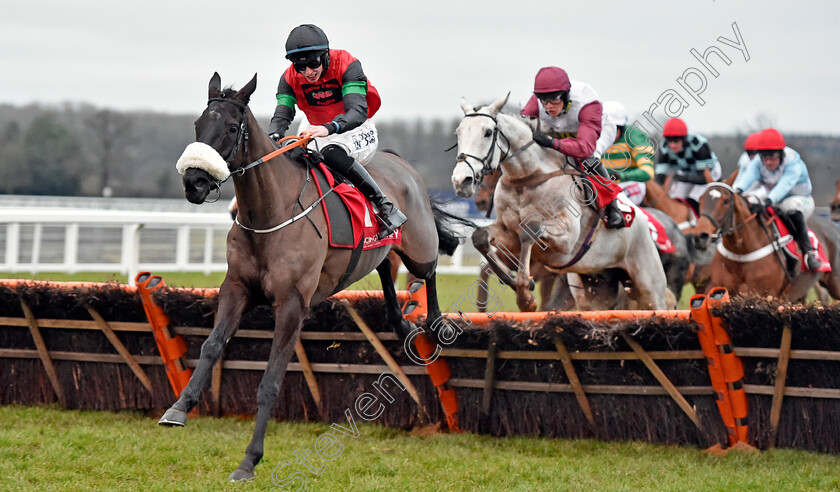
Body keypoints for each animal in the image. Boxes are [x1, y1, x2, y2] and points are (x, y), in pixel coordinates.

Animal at [161, 73, 462, 480]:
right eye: (197, 124)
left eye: (231, 128)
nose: (194, 182)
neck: (270, 213)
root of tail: (400, 163)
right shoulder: (236, 289)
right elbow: (210, 346)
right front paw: (178, 407)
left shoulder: (291, 304)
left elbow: (271, 381)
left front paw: (249, 460)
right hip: (382, 249)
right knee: (385, 266)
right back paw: (401, 324)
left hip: (419, 247)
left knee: (429, 269)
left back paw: (434, 323)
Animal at [450, 95, 668, 310]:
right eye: (458, 133)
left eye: (488, 132)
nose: (461, 180)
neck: (528, 177)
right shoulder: (509, 234)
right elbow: (480, 237)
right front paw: (515, 281)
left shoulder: (567, 238)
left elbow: (531, 229)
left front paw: (526, 296)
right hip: (594, 290)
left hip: (649, 287)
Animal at [688, 184, 840, 302]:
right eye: (701, 199)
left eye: (725, 201)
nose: (701, 236)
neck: (741, 253)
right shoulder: (716, 286)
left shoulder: (764, 294)